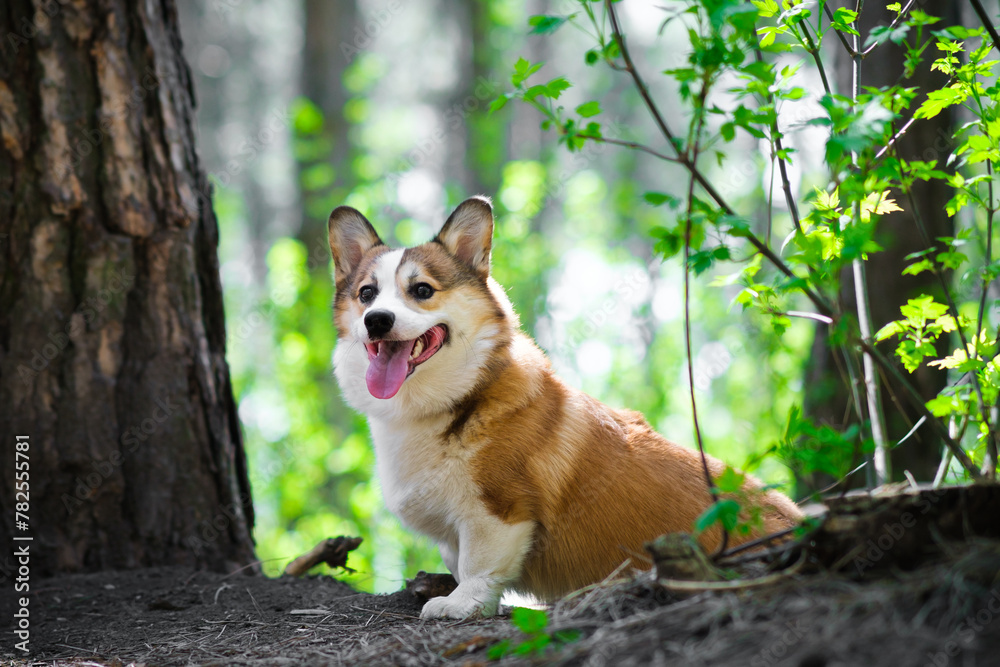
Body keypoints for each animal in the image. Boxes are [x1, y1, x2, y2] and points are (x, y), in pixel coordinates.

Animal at [328, 194, 804, 620]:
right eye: (367, 294)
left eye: (422, 290)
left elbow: (478, 565)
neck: (458, 399)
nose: (377, 321)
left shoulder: (497, 512)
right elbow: (460, 560)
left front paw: (460, 605)